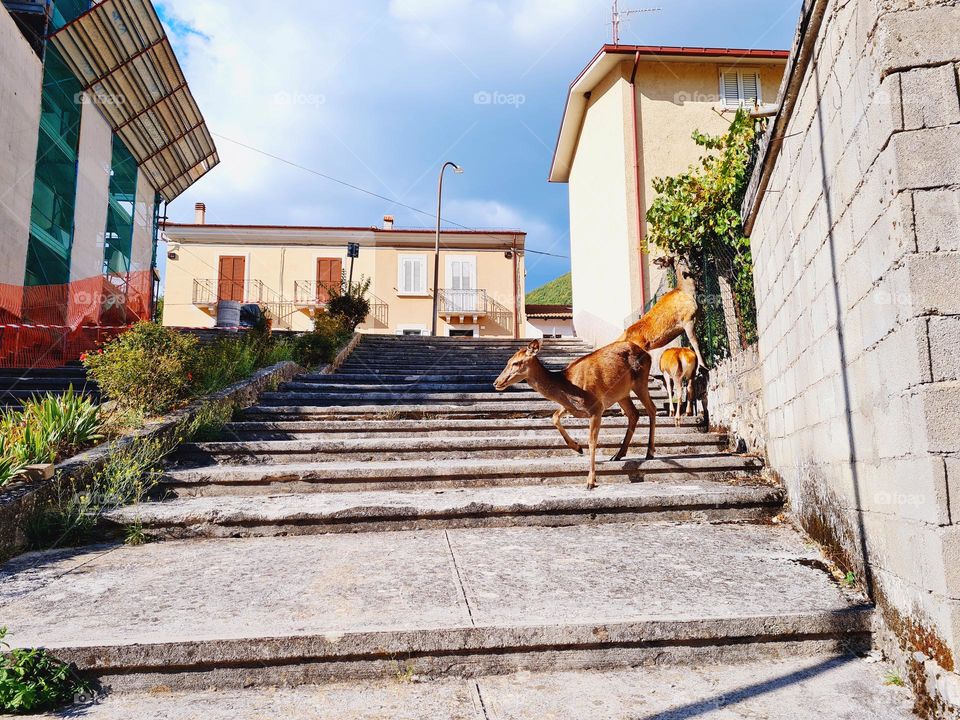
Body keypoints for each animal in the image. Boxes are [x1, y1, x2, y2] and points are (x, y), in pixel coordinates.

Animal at [492, 338, 656, 490]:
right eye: (508, 361)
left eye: (516, 363)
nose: (496, 382)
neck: (568, 386)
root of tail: (647, 353)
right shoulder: (571, 407)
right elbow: (554, 417)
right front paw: (577, 447)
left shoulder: (597, 407)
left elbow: (592, 441)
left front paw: (590, 481)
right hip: (621, 393)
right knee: (634, 413)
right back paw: (618, 455)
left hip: (640, 381)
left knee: (651, 408)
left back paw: (649, 452)